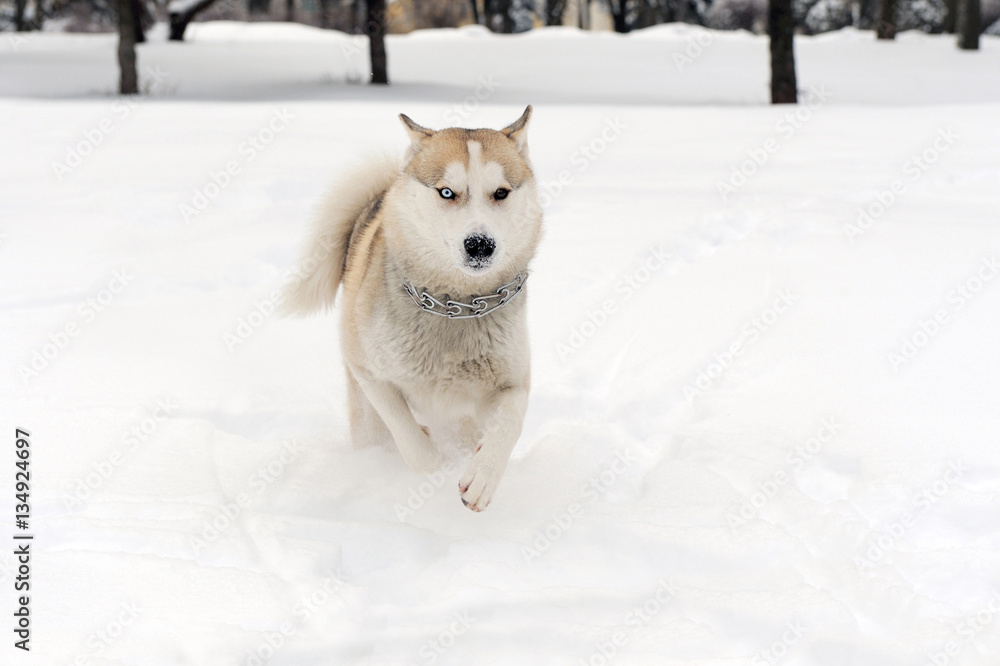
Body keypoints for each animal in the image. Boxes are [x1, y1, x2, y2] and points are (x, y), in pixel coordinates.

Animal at [286, 106, 544, 510]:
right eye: (447, 192)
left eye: (501, 192)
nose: (480, 244)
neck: (455, 306)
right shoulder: (368, 370)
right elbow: (414, 444)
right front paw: (431, 457)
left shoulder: (511, 381)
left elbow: (509, 423)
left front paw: (482, 478)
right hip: (366, 420)